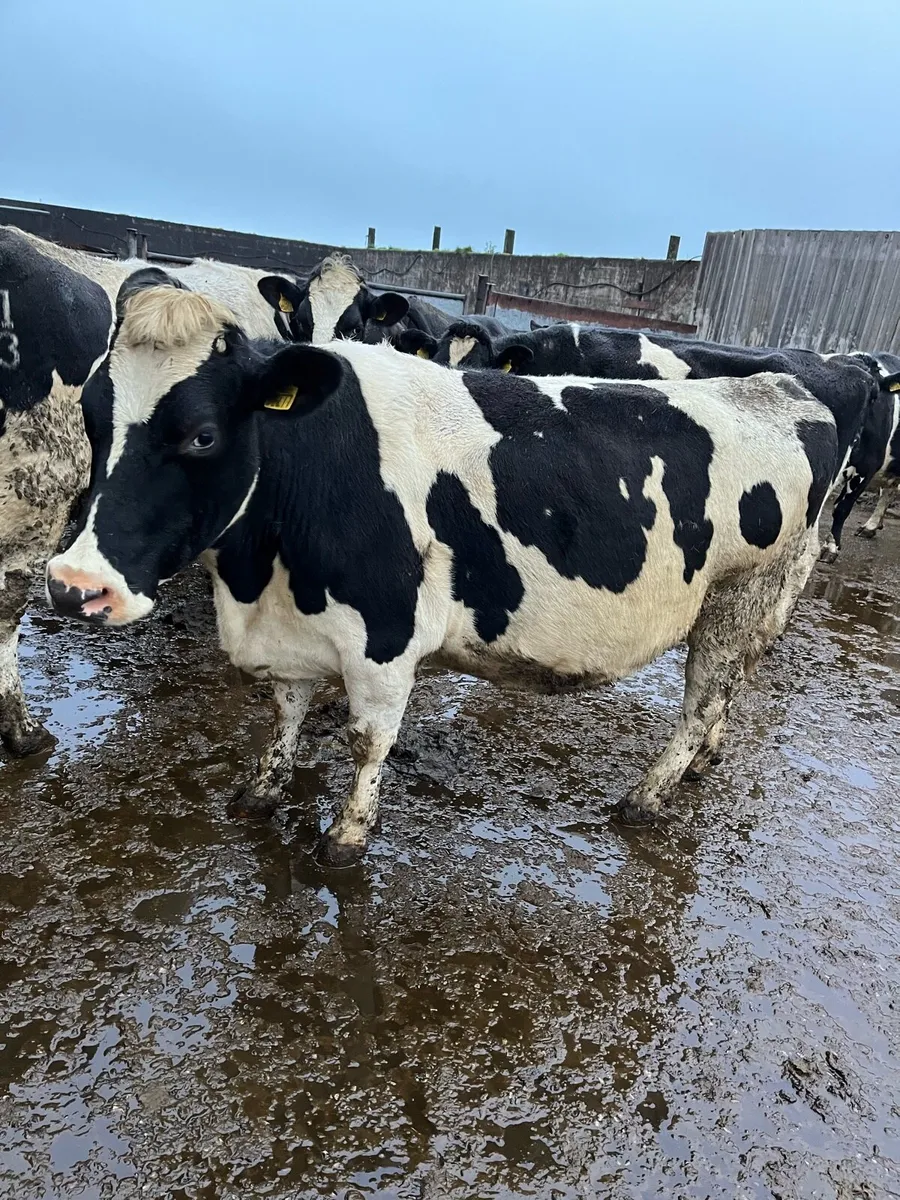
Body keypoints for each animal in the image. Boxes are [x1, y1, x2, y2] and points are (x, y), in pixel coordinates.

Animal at [46, 279, 840, 867]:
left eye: (203, 435)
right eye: (91, 416)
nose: (76, 584)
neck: (258, 577)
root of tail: (780, 389)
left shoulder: (385, 638)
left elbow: (368, 741)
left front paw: (345, 839)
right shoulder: (296, 628)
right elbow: (285, 712)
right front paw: (261, 791)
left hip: (742, 591)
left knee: (705, 696)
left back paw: (647, 797)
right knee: (732, 685)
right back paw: (703, 763)